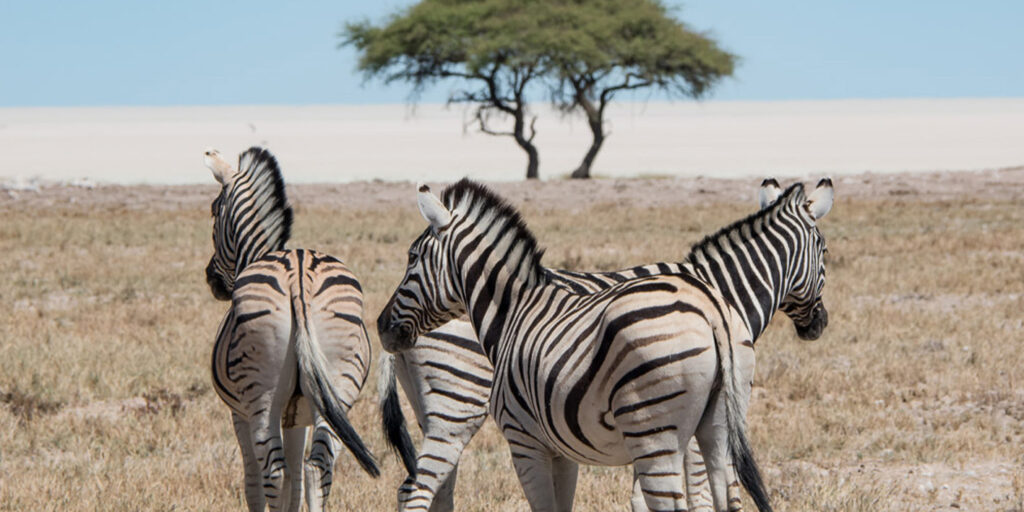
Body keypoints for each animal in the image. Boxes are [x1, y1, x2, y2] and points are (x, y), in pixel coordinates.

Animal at [204, 147, 379, 511]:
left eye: (213, 211)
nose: (210, 278)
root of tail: (298, 275)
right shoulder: (298, 415)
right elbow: (296, 485)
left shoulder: (239, 413)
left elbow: (254, 483)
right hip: (339, 388)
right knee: (317, 467)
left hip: (261, 397)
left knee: (273, 472)